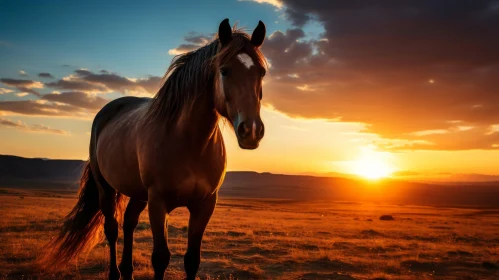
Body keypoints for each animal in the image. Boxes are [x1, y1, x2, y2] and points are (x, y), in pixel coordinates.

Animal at [42, 18, 268, 280]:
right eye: (224, 70)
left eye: (261, 72)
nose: (251, 130)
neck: (190, 144)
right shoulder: (158, 202)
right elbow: (160, 258)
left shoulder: (205, 204)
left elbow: (192, 260)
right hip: (106, 189)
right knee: (112, 229)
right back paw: (115, 273)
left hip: (138, 193)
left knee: (129, 222)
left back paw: (127, 271)